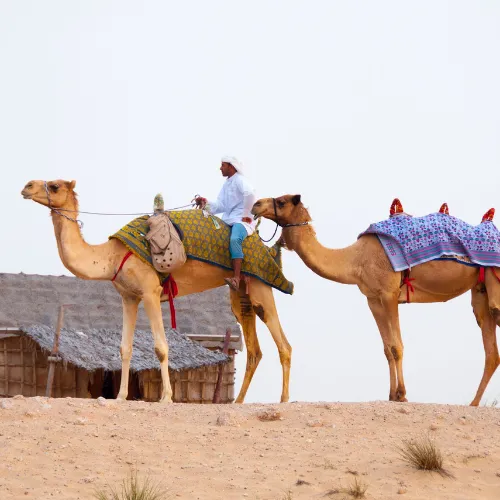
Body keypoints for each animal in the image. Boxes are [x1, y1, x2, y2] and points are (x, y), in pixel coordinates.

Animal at [20, 180, 292, 402]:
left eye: (55, 186)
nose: (27, 186)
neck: (111, 255)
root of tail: (265, 248)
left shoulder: (150, 292)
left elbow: (161, 348)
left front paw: (167, 397)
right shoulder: (129, 297)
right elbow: (125, 348)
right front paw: (121, 396)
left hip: (260, 285)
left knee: (283, 344)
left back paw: (284, 399)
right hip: (241, 294)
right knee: (254, 349)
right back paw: (238, 402)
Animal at [254, 193, 500, 404]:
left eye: (282, 201)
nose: (256, 204)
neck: (355, 259)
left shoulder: (389, 293)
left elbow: (397, 346)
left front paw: (402, 394)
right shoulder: (373, 299)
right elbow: (387, 348)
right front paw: (391, 395)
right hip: (481, 290)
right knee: (491, 352)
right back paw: (473, 404)